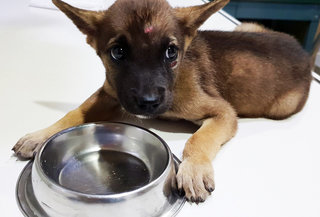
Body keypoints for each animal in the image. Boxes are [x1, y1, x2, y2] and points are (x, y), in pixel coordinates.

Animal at [13, 0, 312, 203]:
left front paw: (194, 170)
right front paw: (41, 135)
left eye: (171, 52)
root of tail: (305, 55)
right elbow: (74, 113)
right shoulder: (110, 93)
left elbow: (198, 140)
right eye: (118, 52)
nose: (148, 103)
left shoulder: (224, 113)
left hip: (282, 106)